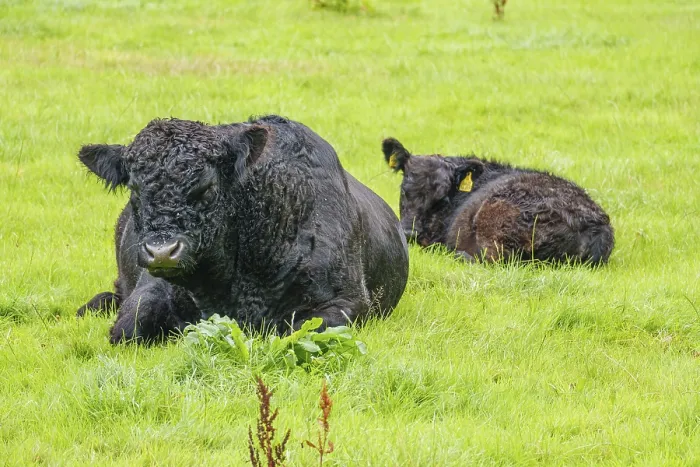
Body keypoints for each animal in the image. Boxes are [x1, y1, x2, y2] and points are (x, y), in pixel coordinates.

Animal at [75, 116, 409, 343]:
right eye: (134, 188)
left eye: (207, 186)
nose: (162, 252)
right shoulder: (149, 290)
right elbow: (129, 328)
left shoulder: (346, 302)